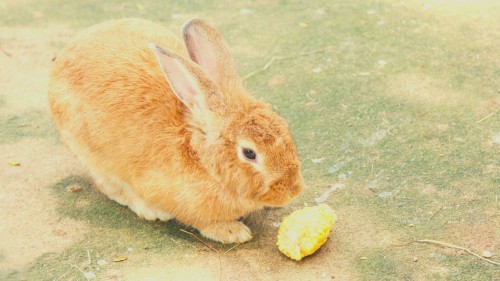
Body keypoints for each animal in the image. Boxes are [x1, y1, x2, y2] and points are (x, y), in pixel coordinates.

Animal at [47, 18, 304, 243]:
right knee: (108, 185)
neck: (202, 160)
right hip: (91, 155)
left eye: (284, 126)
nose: (294, 190)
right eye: (249, 153)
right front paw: (232, 232)